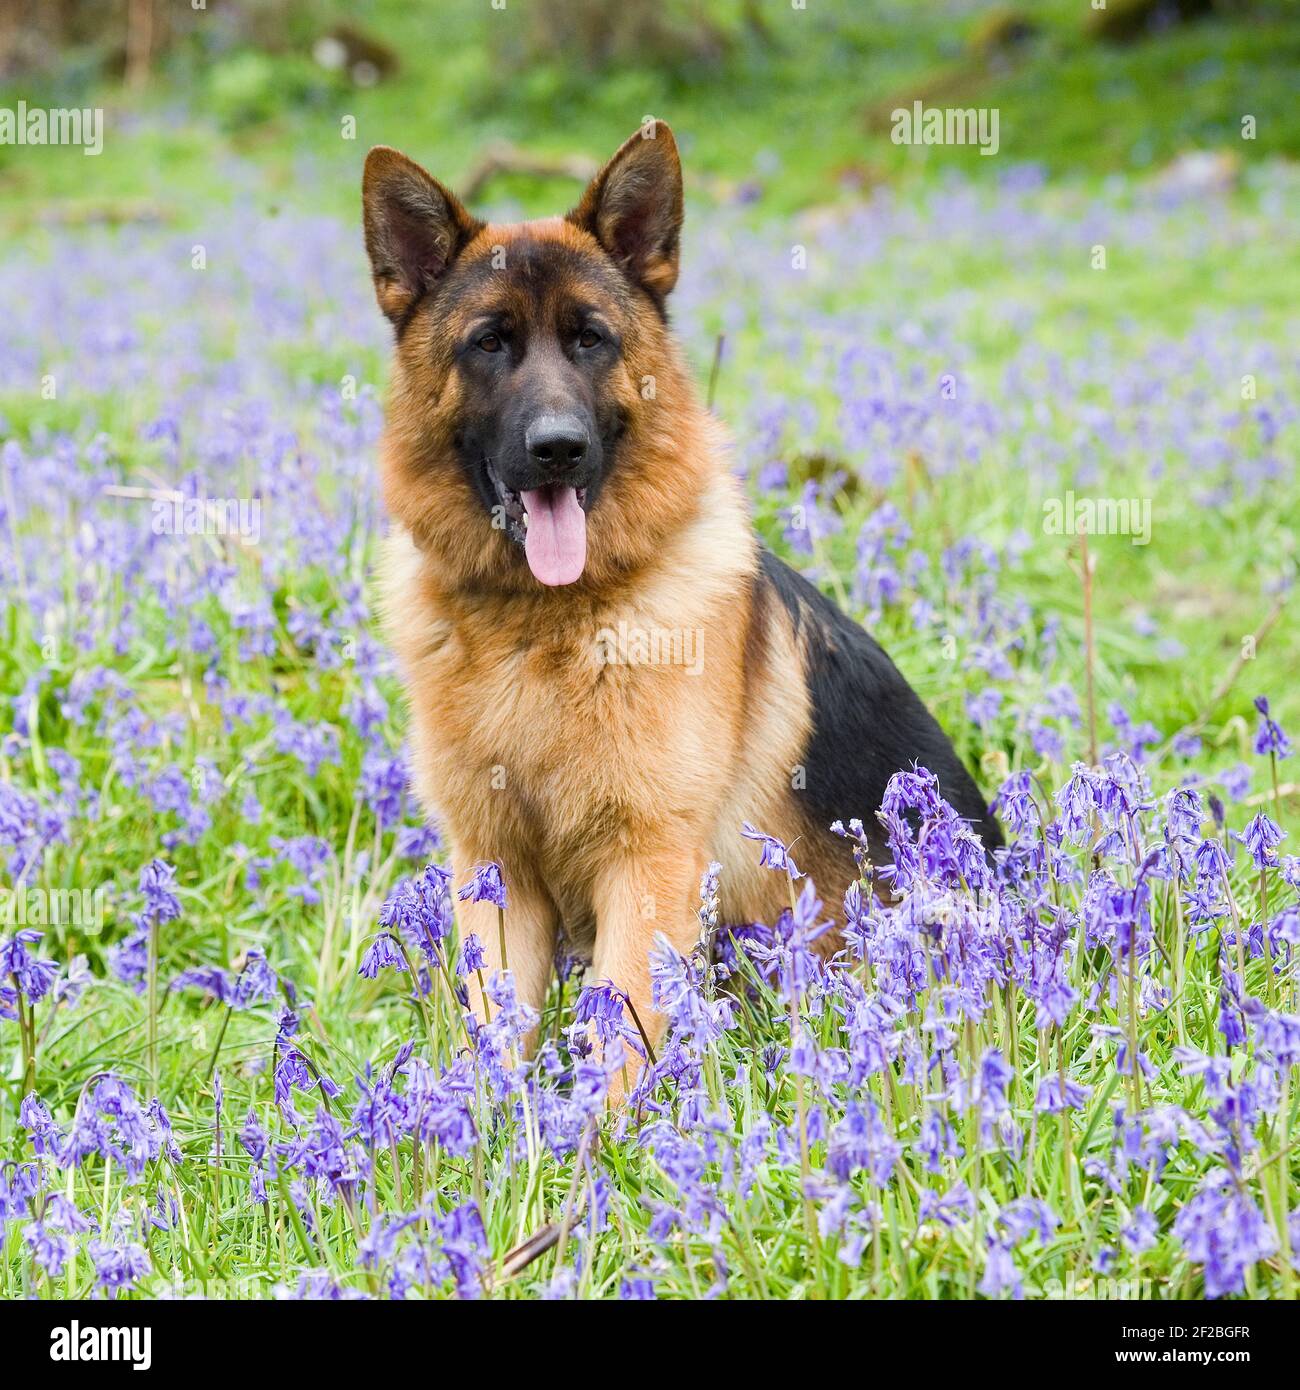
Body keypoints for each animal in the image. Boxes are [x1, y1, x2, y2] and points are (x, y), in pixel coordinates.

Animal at [361, 119, 1001, 1084]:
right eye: (489, 343)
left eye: (590, 340)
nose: (558, 449)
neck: (544, 626)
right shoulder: (497, 871)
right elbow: (496, 1035)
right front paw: (493, 1121)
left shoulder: (647, 863)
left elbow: (618, 1042)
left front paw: (587, 1126)